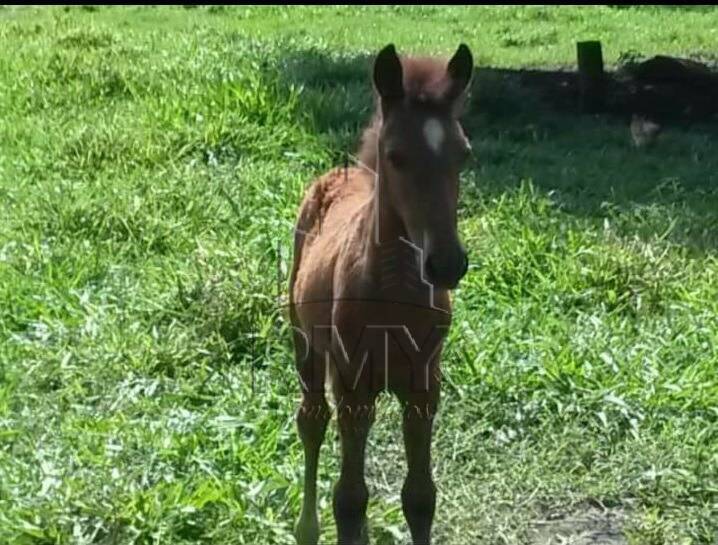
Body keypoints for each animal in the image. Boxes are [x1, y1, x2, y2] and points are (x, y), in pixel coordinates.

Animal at [290, 43, 476, 544]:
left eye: (463, 155)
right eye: (395, 156)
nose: (446, 263)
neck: (394, 297)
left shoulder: (424, 387)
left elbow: (420, 496)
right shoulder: (353, 384)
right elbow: (349, 499)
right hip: (305, 344)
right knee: (311, 421)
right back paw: (306, 528)